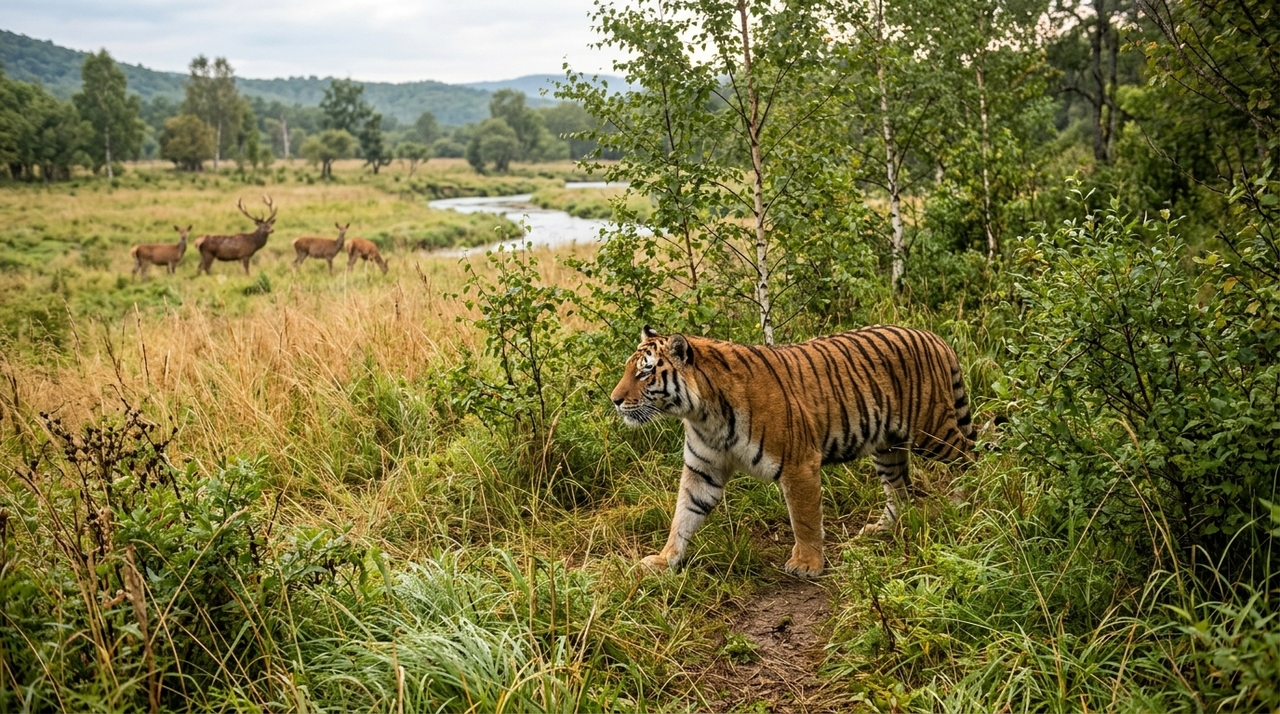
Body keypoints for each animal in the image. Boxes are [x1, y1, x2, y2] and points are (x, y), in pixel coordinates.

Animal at [610, 324, 976, 577]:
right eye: (630, 369)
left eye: (645, 372)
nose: (613, 400)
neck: (703, 414)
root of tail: (934, 336)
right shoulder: (703, 470)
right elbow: (684, 515)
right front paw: (664, 560)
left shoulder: (799, 464)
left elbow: (804, 518)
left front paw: (807, 563)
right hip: (887, 445)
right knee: (900, 491)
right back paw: (881, 529)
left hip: (933, 431)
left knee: (972, 457)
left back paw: (970, 501)